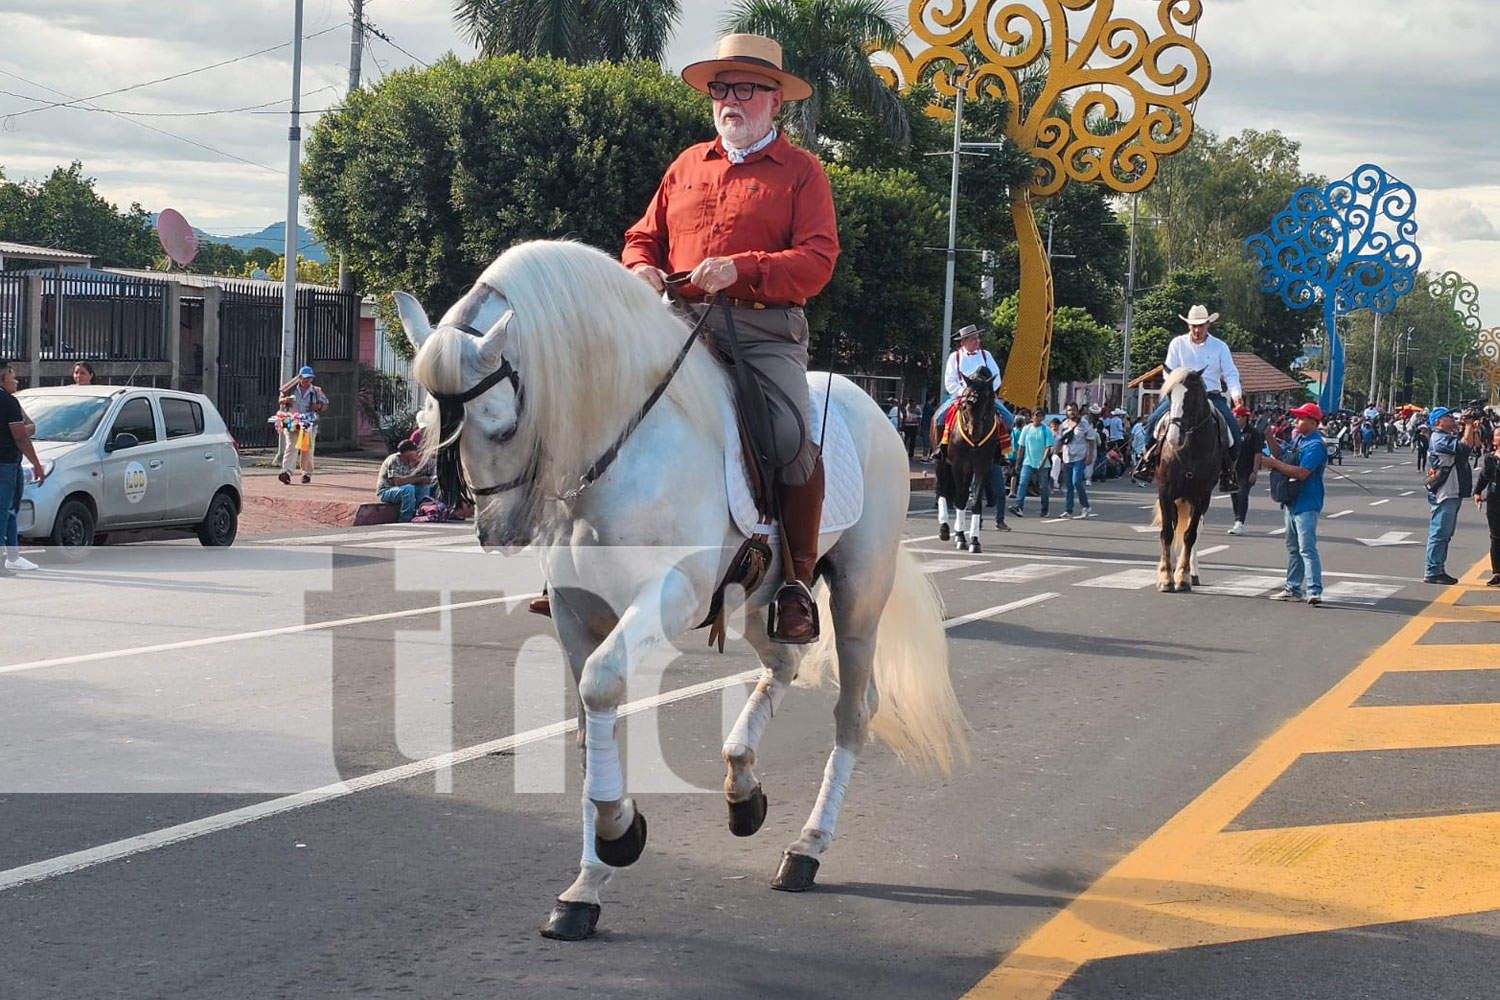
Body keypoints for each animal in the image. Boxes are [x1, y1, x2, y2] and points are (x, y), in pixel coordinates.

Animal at [393, 239, 966, 941]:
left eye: (499, 425)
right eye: (429, 420)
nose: (496, 532)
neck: (621, 445)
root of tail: (876, 410)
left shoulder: (670, 594)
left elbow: (602, 685)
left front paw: (619, 834)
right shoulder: (573, 612)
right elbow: (588, 727)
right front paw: (585, 885)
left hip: (860, 591)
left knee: (853, 713)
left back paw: (806, 848)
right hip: (757, 598)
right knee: (783, 662)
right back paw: (742, 785)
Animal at [936, 367, 996, 554]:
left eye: (985, 402)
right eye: (965, 404)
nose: (974, 432)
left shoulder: (982, 466)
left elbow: (975, 502)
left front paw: (975, 541)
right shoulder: (958, 466)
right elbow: (961, 499)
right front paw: (962, 537)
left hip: (969, 469)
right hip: (942, 463)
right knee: (941, 490)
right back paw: (945, 529)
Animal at [1152, 367, 1224, 590]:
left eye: (1191, 397)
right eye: (1168, 395)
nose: (1174, 437)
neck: (1189, 450)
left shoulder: (1201, 496)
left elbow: (1190, 535)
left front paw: (1182, 576)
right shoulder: (1165, 492)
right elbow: (1167, 532)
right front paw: (1165, 576)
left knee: (1194, 530)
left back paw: (1192, 572)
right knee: (1174, 527)